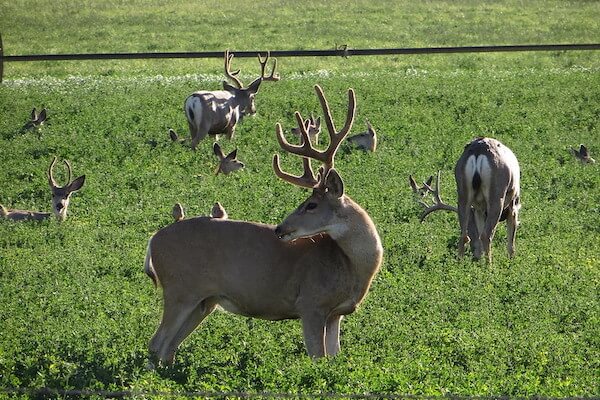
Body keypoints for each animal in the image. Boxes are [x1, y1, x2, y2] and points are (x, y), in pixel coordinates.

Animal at [143, 85, 382, 366]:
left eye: (311, 205)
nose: (280, 228)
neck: (352, 266)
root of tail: (152, 241)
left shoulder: (337, 313)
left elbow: (333, 357)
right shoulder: (311, 303)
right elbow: (317, 357)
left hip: (204, 301)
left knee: (168, 347)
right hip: (179, 288)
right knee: (156, 342)